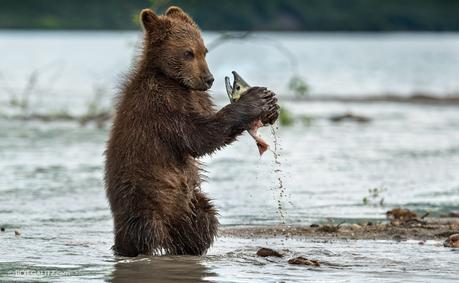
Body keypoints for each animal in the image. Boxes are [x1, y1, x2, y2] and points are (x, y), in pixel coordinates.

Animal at [105, 6, 278, 258]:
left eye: (204, 51)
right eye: (188, 53)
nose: (208, 79)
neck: (174, 80)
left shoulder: (196, 97)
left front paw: (270, 103)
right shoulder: (160, 104)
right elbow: (195, 136)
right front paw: (253, 101)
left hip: (190, 200)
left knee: (203, 222)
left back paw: (191, 247)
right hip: (143, 194)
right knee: (144, 230)